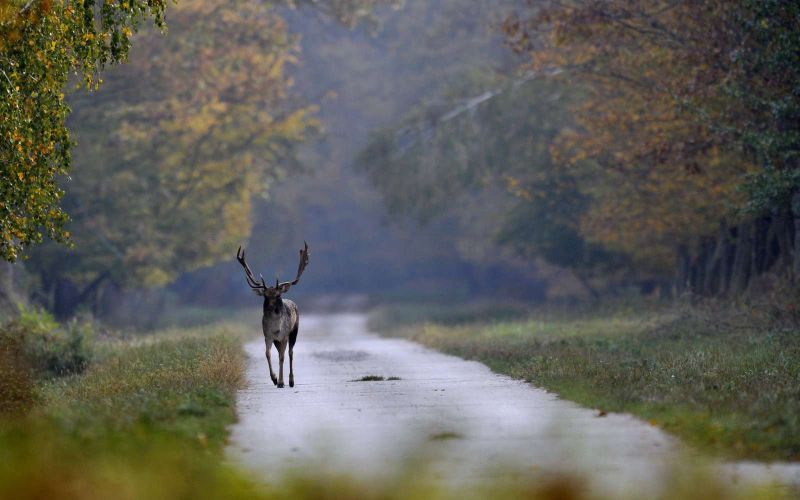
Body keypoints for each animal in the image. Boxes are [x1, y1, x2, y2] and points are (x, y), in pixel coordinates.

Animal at [234, 244, 310, 388]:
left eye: (277, 295)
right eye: (265, 295)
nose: (271, 307)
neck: (275, 328)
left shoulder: (284, 335)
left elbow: (282, 357)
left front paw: (280, 382)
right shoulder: (268, 336)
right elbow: (267, 354)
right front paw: (274, 379)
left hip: (294, 331)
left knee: (290, 353)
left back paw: (291, 381)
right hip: (277, 340)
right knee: (281, 352)